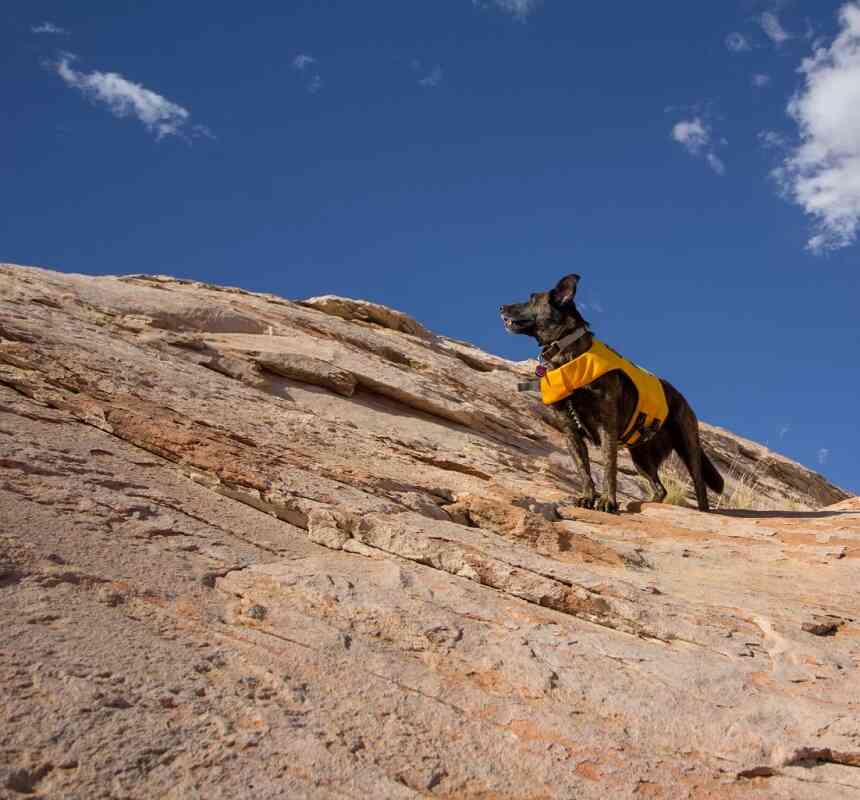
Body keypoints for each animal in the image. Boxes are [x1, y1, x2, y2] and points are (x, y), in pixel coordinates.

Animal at [500, 276, 724, 512]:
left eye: (532, 298)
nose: (501, 307)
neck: (568, 353)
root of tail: (682, 397)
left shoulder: (606, 426)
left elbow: (609, 468)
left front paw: (608, 501)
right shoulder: (571, 431)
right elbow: (583, 470)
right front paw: (587, 497)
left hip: (687, 446)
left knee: (699, 483)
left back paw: (703, 509)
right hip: (641, 457)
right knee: (660, 488)